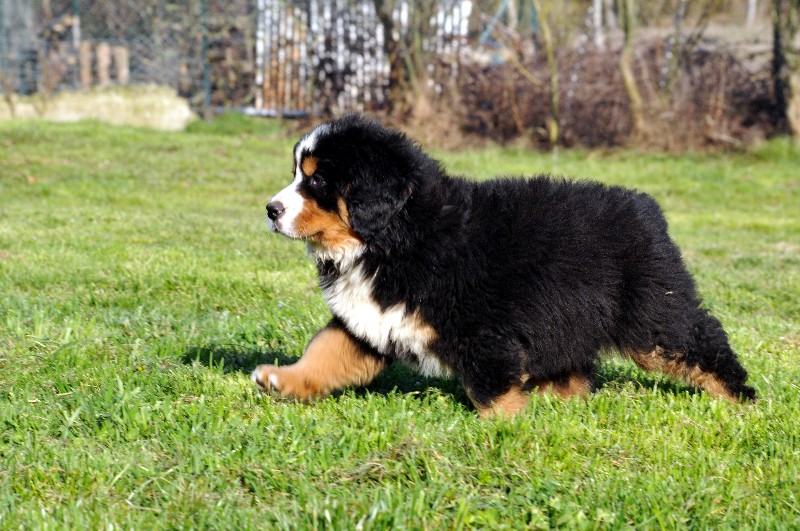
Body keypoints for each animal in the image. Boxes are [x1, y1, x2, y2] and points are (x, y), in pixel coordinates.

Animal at [251, 114, 756, 416]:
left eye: (317, 180)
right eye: (298, 173)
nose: (271, 209)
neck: (394, 238)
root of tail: (647, 209)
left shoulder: (482, 329)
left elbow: (491, 390)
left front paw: (507, 429)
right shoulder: (369, 320)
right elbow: (327, 351)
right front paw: (283, 379)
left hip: (654, 314)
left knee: (703, 344)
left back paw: (741, 400)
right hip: (570, 316)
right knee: (576, 369)